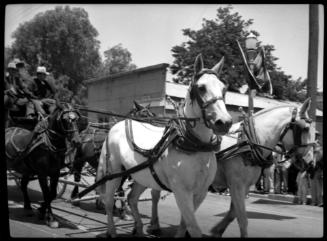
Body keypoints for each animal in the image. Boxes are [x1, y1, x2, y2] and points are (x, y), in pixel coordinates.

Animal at [96, 54, 233, 237]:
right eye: (201, 88)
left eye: (224, 89)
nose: (224, 122)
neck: (195, 146)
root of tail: (116, 126)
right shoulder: (181, 191)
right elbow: (193, 227)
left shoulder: (201, 192)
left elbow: (185, 223)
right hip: (114, 173)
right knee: (109, 201)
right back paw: (112, 230)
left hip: (142, 175)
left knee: (132, 198)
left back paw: (139, 229)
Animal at [147, 97, 316, 236]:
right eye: (305, 129)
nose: (310, 163)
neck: (249, 143)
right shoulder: (236, 184)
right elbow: (242, 218)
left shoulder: (244, 186)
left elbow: (233, 213)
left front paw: (217, 230)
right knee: (154, 195)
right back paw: (154, 225)